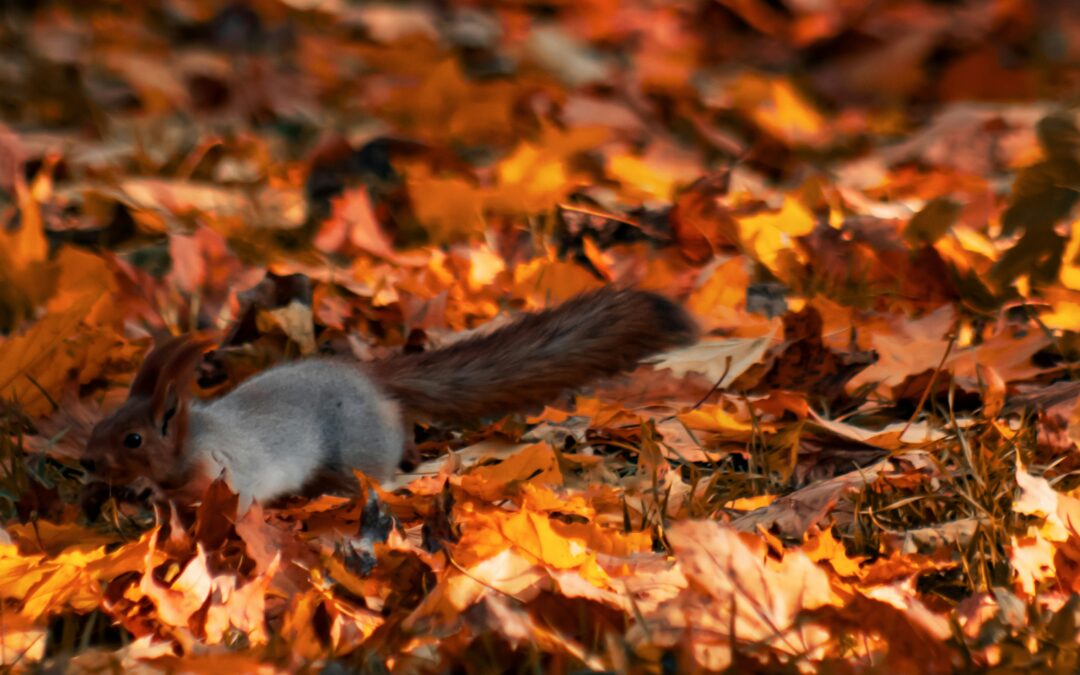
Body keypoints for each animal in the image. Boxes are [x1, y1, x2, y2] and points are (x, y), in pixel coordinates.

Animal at [84, 287, 698, 507]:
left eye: (133, 438)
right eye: (103, 422)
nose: (89, 462)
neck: (192, 437)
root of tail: (373, 381)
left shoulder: (226, 474)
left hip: (354, 455)